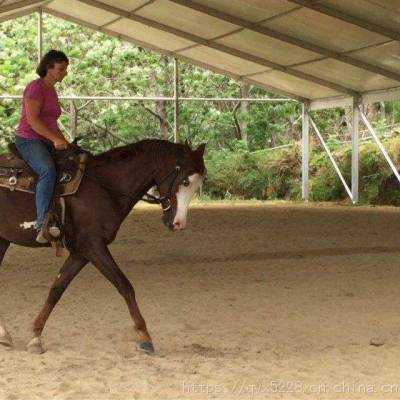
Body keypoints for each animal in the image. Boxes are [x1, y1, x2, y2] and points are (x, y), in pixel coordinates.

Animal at [0, 138, 208, 354]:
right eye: (185, 181)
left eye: (200, 182)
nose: (179, 223)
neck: (104, 186)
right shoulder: (93, 246)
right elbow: (124, 285)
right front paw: (145, 337)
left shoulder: (81, 253)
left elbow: (57, 288)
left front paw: (36, 337)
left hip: (2, 240)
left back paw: (4, 335)